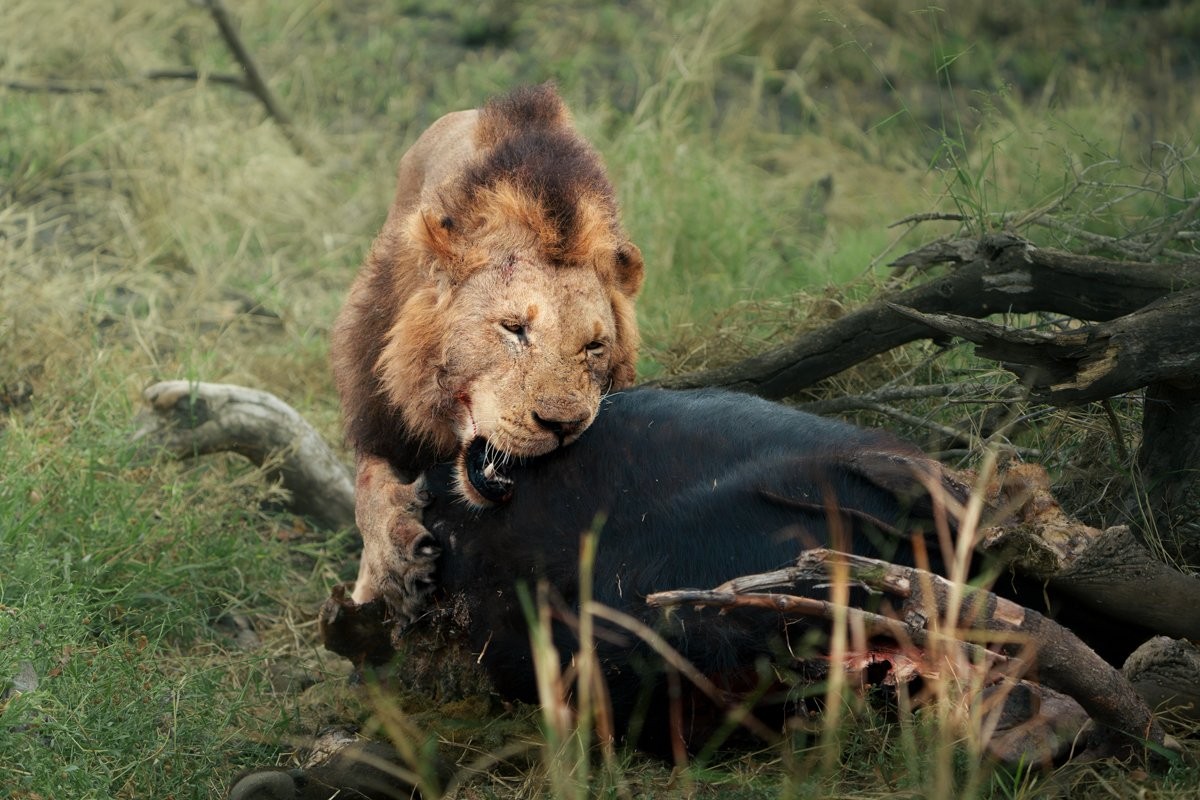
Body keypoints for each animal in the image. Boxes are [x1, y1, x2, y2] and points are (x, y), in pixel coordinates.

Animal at [327, 84, 644, 632]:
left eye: (593, 347)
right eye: (514, 329)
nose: (563, 425)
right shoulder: (375, 398)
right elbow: (367, 484)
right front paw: (393, 562)